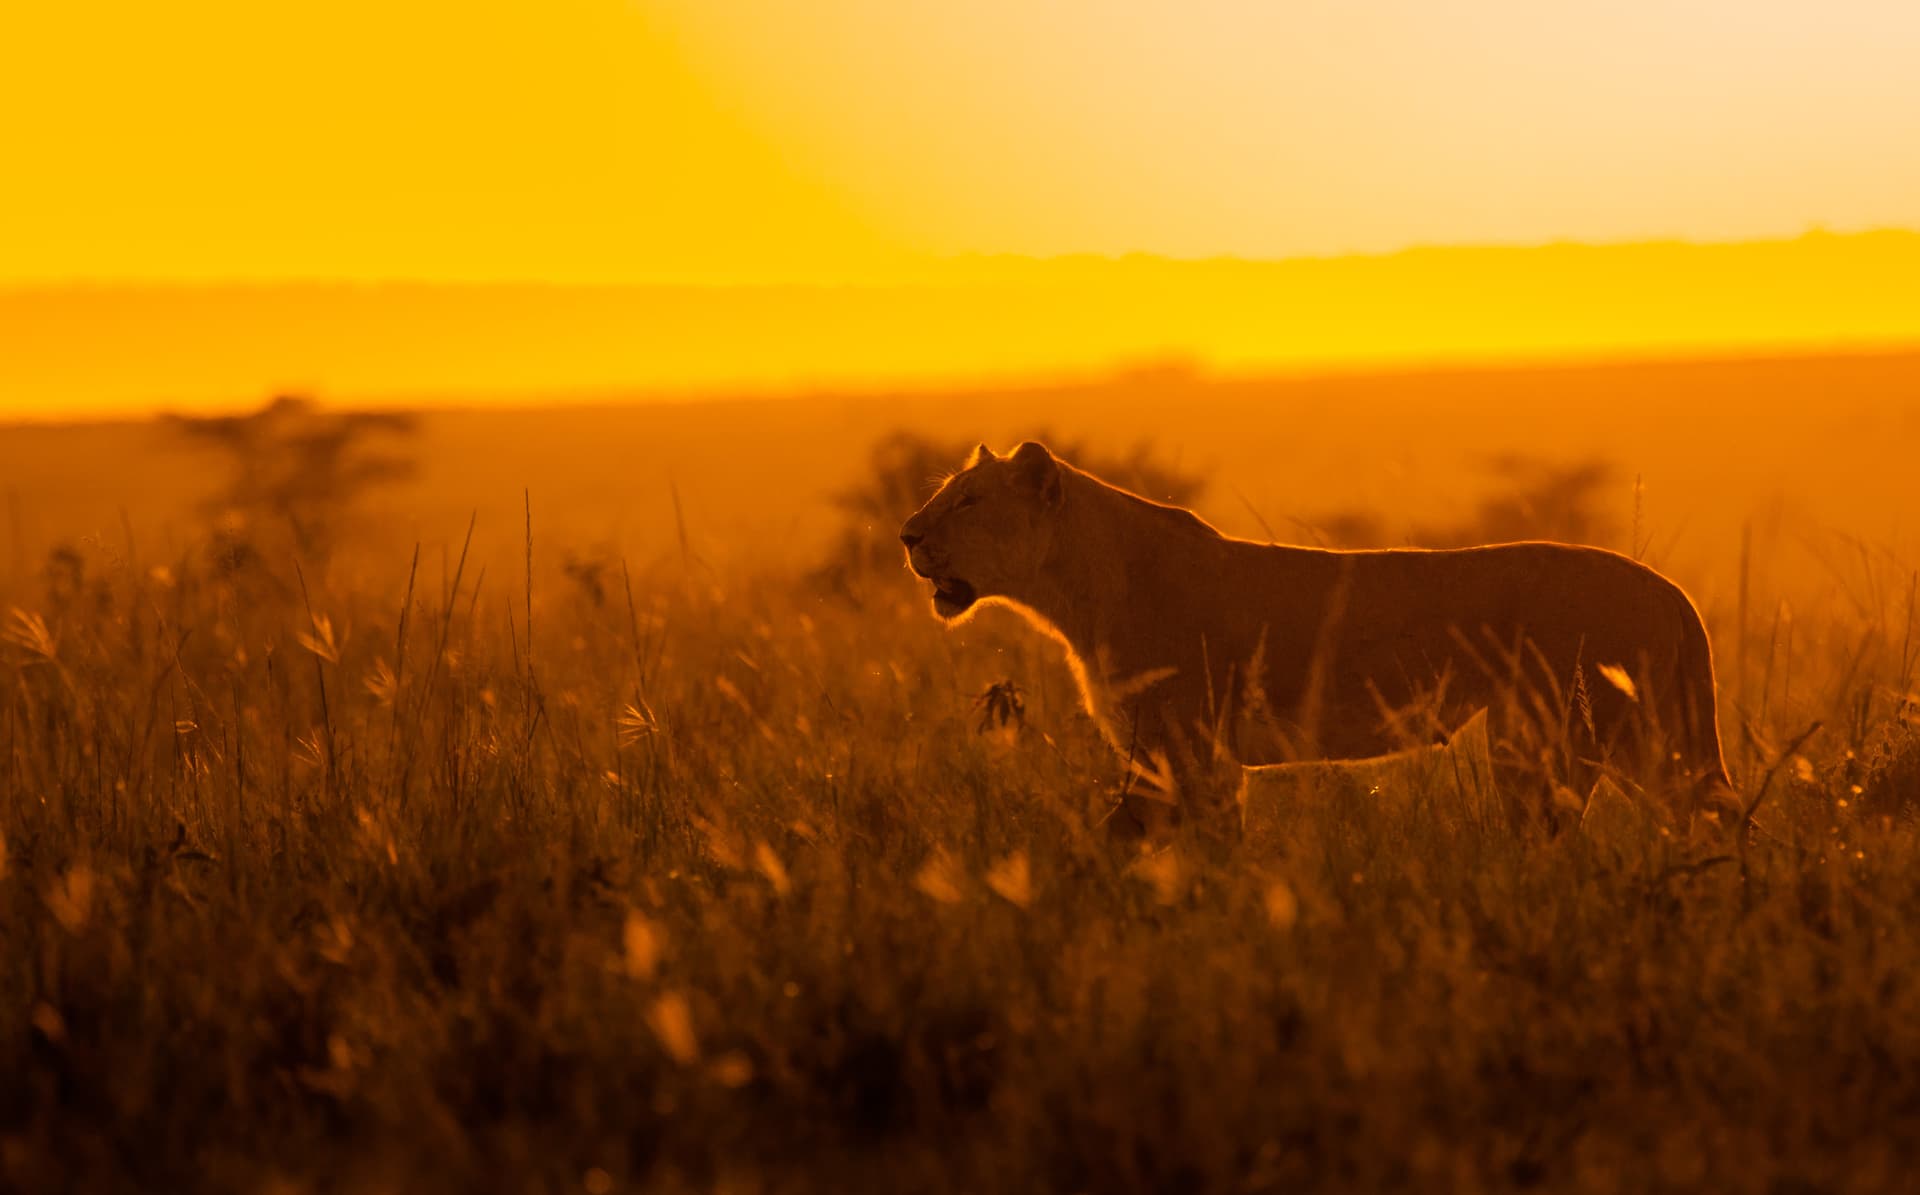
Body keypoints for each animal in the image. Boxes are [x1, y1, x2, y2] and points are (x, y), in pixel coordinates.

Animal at [900, 441, 1731, 823]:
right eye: (944, 493)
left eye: (968, 501)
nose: (905, 533)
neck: (1073, 588)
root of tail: (1671, 590)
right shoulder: (1189, 758)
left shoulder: (1182, 749)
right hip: (1644, 735)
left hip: (1554, 735)